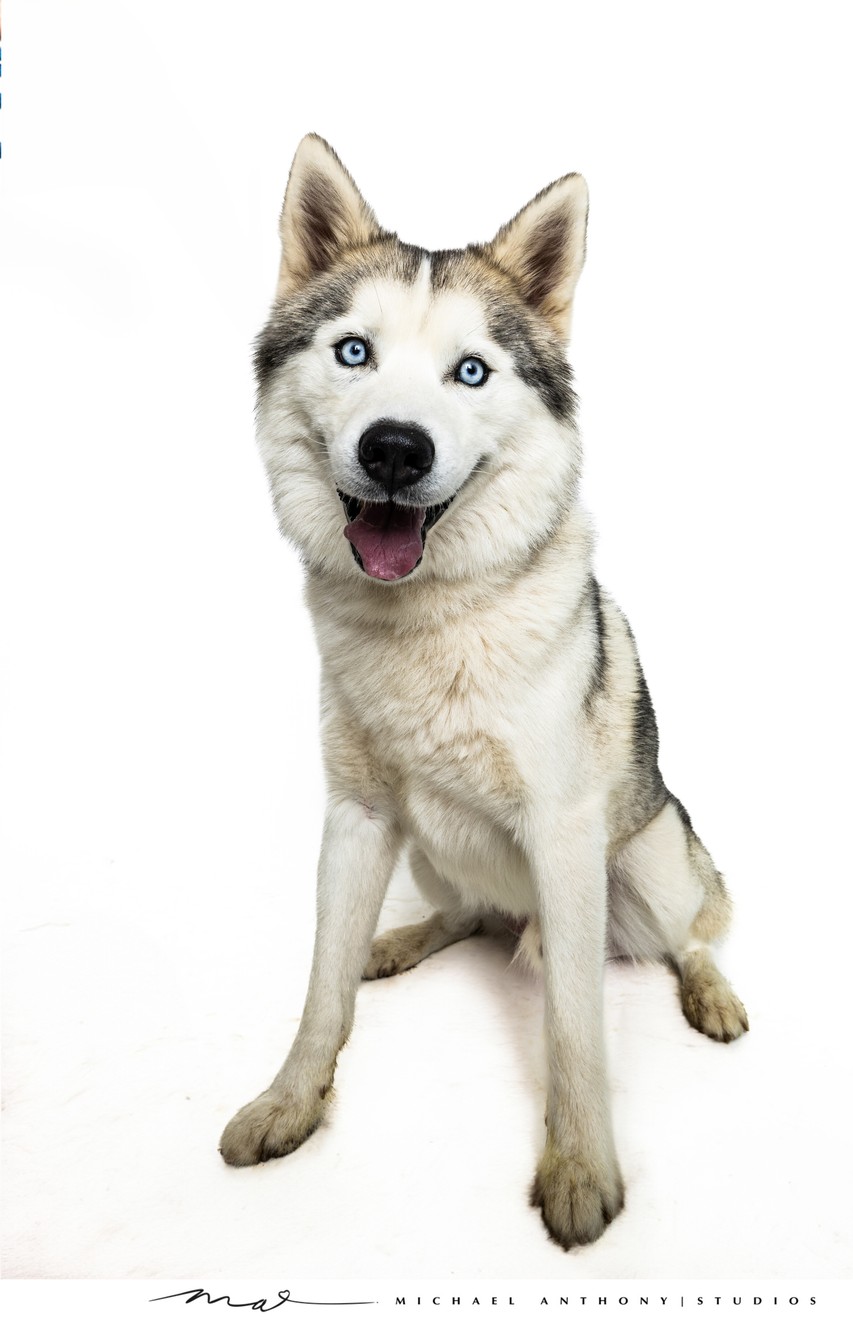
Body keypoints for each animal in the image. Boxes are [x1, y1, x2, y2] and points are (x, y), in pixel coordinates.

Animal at [220, 134, 750, 1247]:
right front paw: (290, 1102)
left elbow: (573, 1030)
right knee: (471, 912)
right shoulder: (356, 816)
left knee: (684, 935)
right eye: (352, 352)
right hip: (426, 852)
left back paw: (710, 993)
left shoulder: (563, 831)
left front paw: (580, 1171)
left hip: (647, 858)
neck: (427, 626)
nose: (394, 447)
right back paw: (403, 941)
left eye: (471, 371)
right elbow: (320, 989)